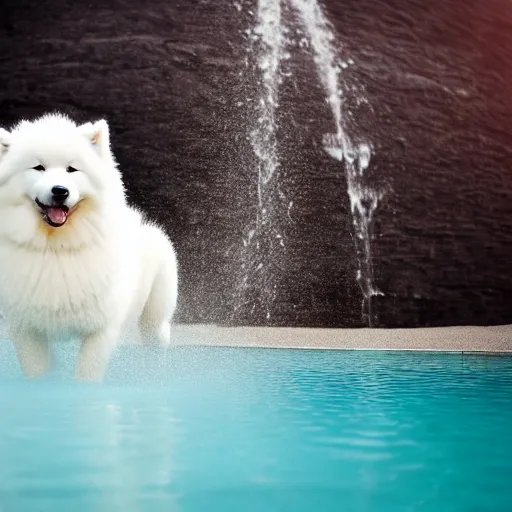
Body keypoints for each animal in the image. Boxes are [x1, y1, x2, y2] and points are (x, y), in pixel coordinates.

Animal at [0, 115, 178, 380]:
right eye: (38, 167)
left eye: (72, 169)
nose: (60, 191)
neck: (57, 247)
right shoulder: (27, 328)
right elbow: (38, 373)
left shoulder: (101, 329)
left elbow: (87, 375)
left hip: (154, 314)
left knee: (157, 341)